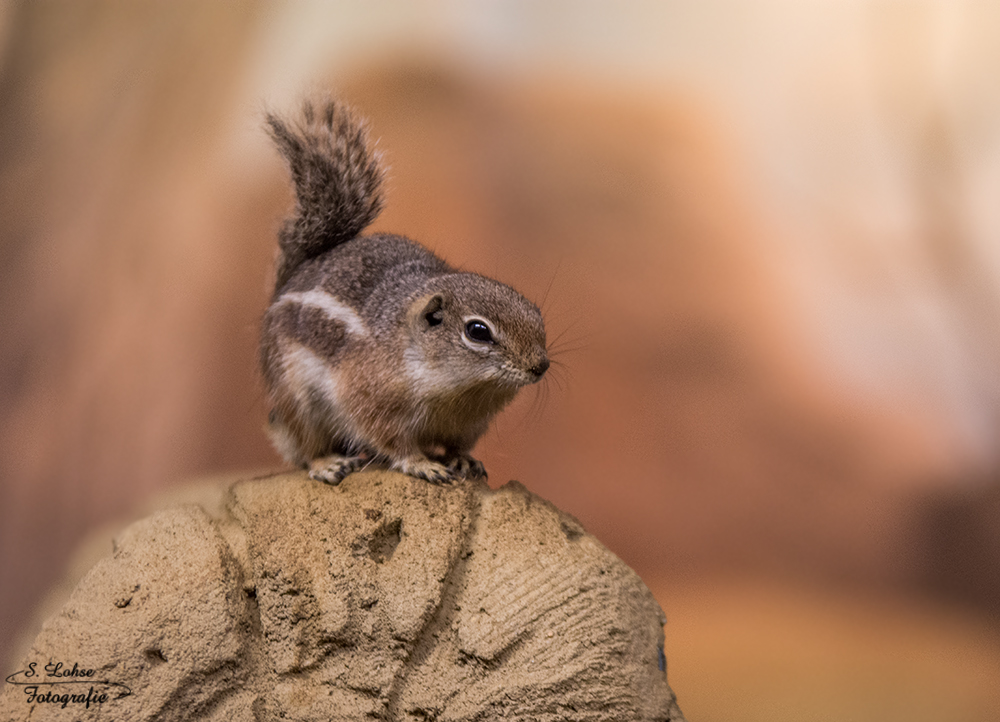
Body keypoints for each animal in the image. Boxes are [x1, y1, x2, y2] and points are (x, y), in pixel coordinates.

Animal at [262, 98, 552, 484]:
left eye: (536, 314)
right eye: (478, 331)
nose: (541, 366)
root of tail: (294, 277)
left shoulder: (469, 424)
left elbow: (458, 445)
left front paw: (463, 460)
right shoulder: (368, 400)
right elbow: (394, 443)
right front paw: (422, 463)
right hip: (297, 401)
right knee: (305, 448)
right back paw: (327, 464)